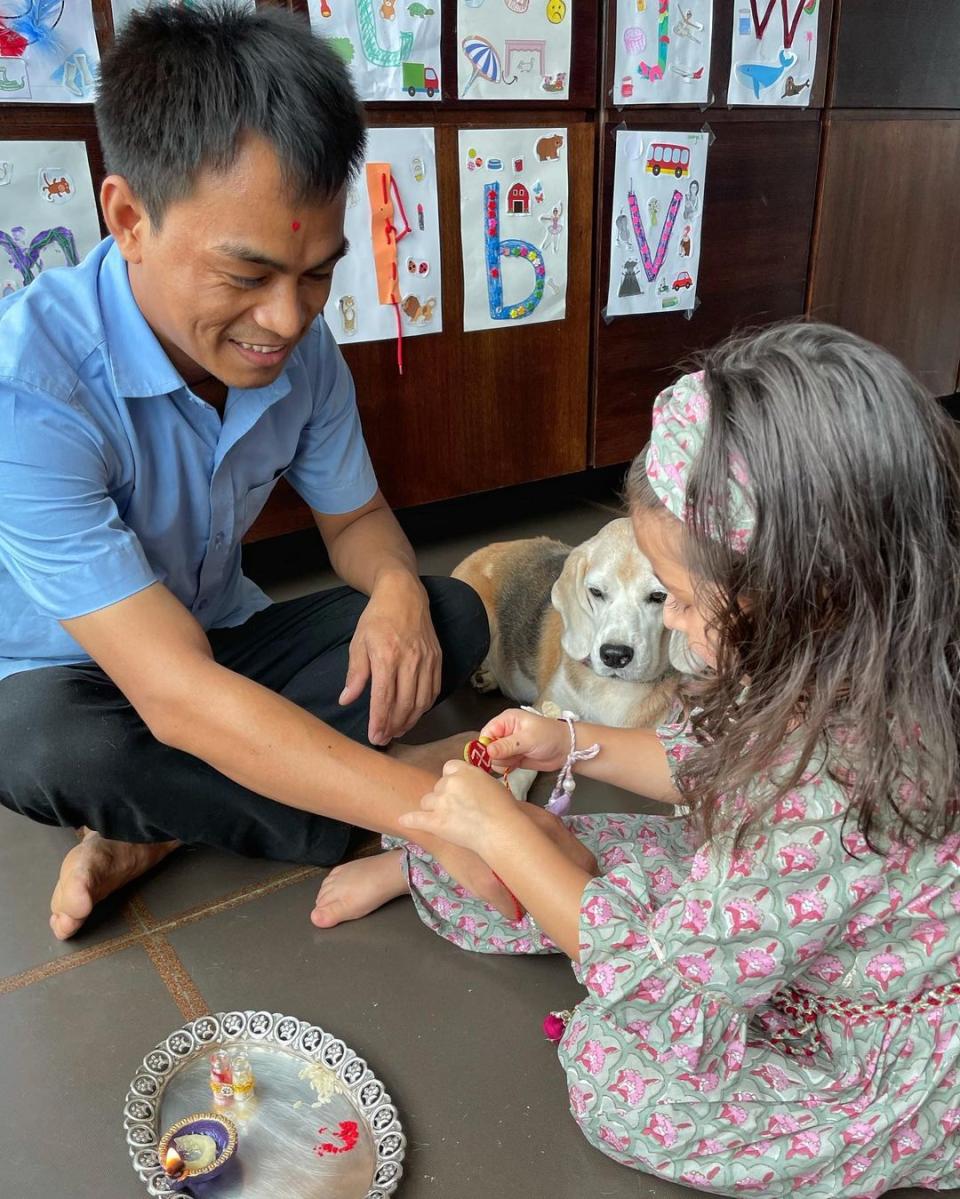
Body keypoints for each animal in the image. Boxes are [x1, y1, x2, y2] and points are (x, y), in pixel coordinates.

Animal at [453, 522, 675, 796]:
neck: (612, 686)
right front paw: (510, 788)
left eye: (659, 597)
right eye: (596, 592)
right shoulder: (547, 704)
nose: (614, 655)